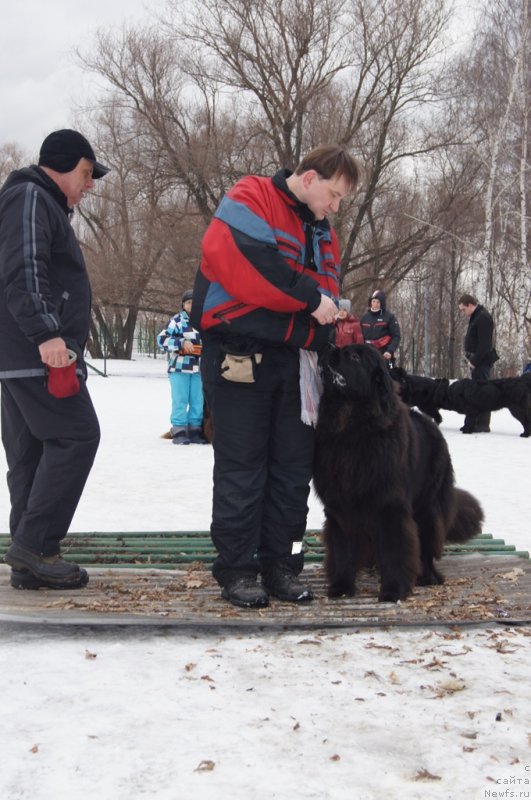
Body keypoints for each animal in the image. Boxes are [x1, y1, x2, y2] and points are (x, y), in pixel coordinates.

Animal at [316, 344, 486, 600]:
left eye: (354, 356)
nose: (329, 348)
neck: (352, 428)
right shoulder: (340, 505)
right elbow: (342, 548)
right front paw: (341, 586)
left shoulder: (390, 505)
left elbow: (395, 548)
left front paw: (393, 590)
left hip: (427, 508)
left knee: (426, 546)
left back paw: (428, 577)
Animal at [392, 368, 531, 438]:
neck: (448, 392)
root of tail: (523, 380)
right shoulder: (472, 411)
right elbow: (467, 420)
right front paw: (465, 429)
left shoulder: (471, 410)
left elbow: (468, 420)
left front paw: (467, 431)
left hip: (516, 409)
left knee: (526, 421)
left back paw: (525, 434)